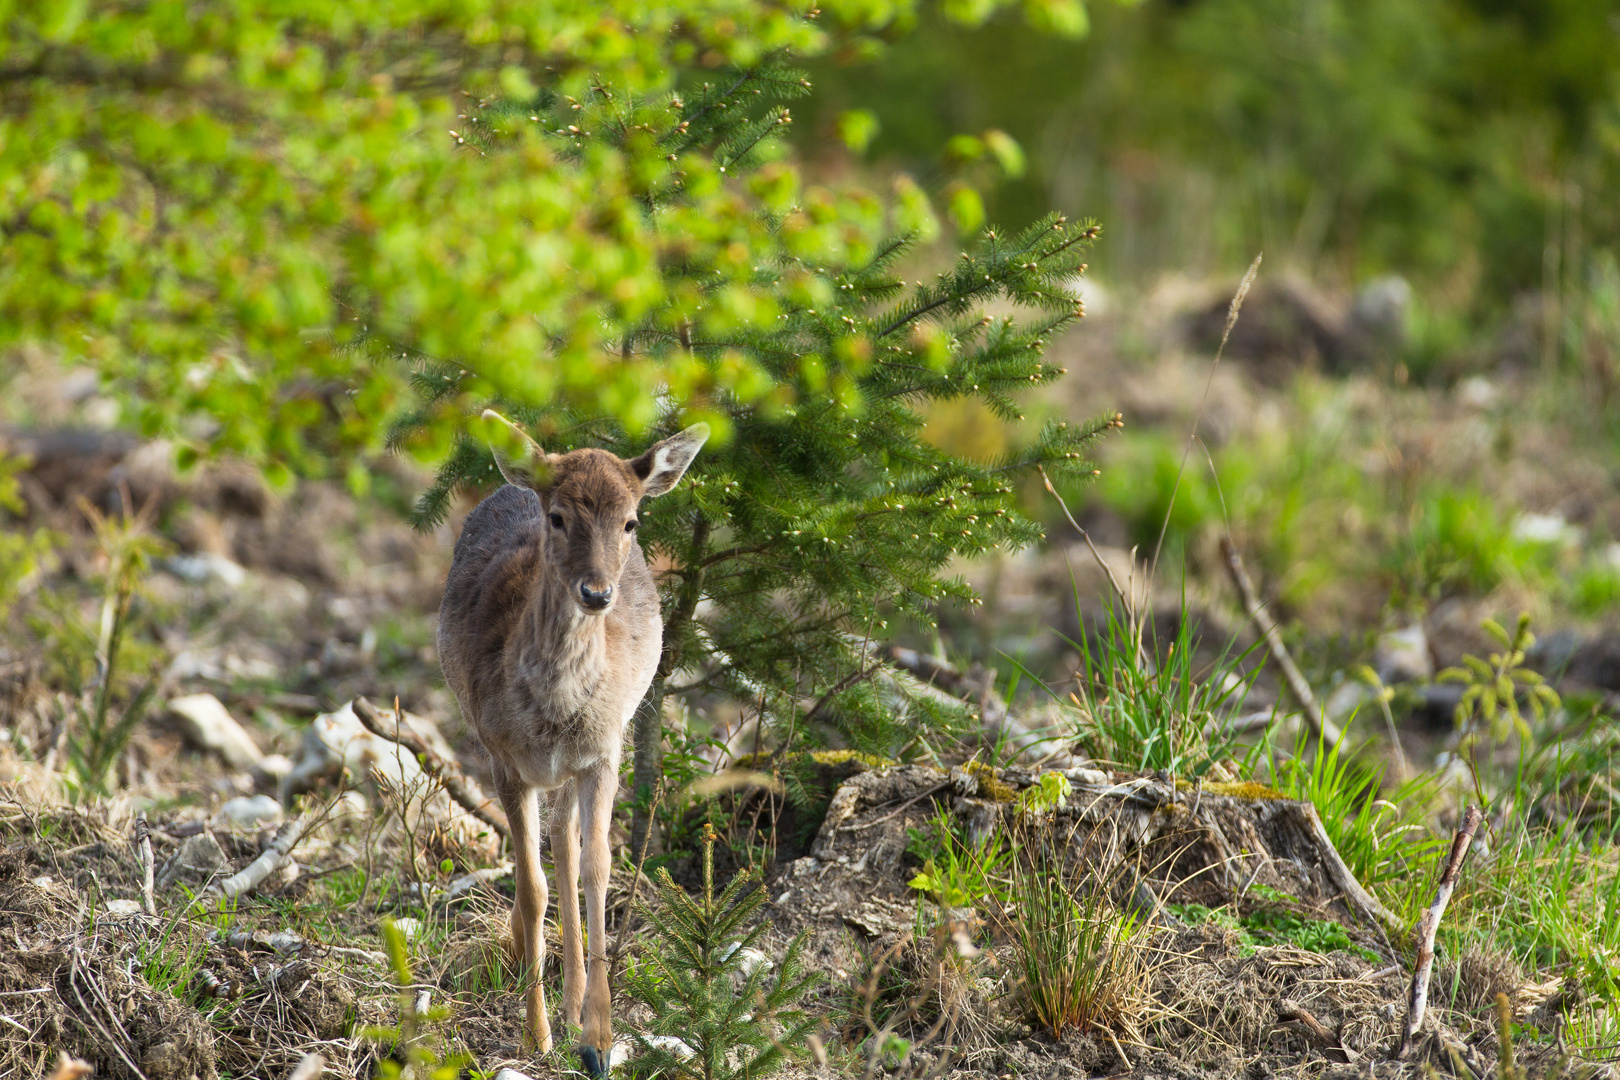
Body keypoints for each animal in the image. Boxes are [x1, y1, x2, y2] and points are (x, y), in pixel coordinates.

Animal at [437, 411, 709, 1075]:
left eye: (631, 521)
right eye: (559, 517)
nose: (596, 593)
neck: (555, 711)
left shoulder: (605, 751)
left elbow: (597, 869)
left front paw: (598, 1039)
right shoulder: (503, 758)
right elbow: (531, 886)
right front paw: (534, 1036)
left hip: (577, 766)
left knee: (566, 845)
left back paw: (573, 999)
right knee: (550, 852)